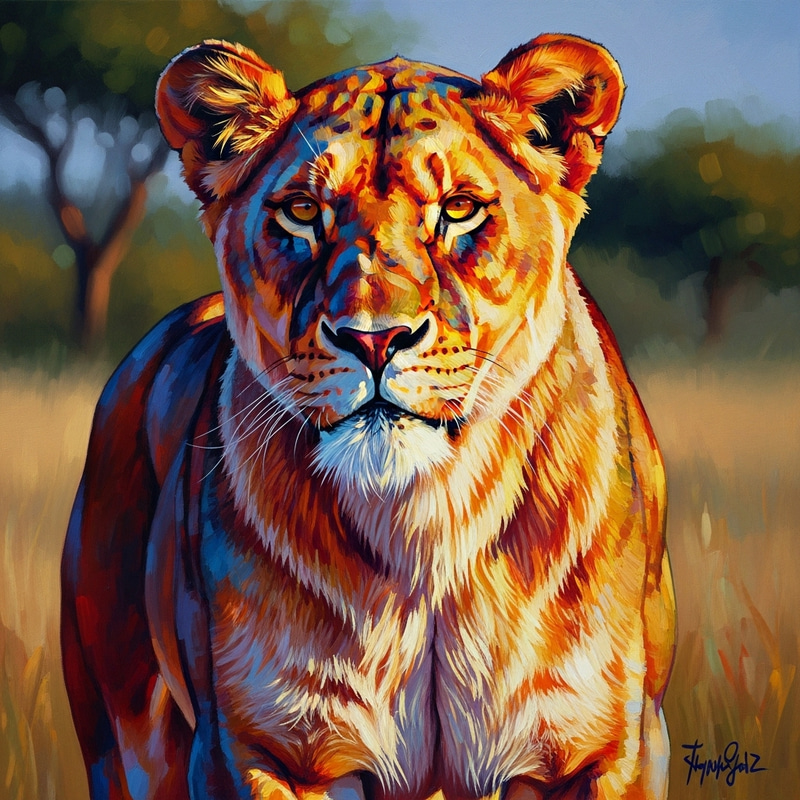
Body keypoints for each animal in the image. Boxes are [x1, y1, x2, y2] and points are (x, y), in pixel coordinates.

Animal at [61, 34, 675, 800]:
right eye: (302, 211)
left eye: (459, 209)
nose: (375, 339)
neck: (425, 524)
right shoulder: (257, 749)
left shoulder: (610, 748)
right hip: (123, 737)